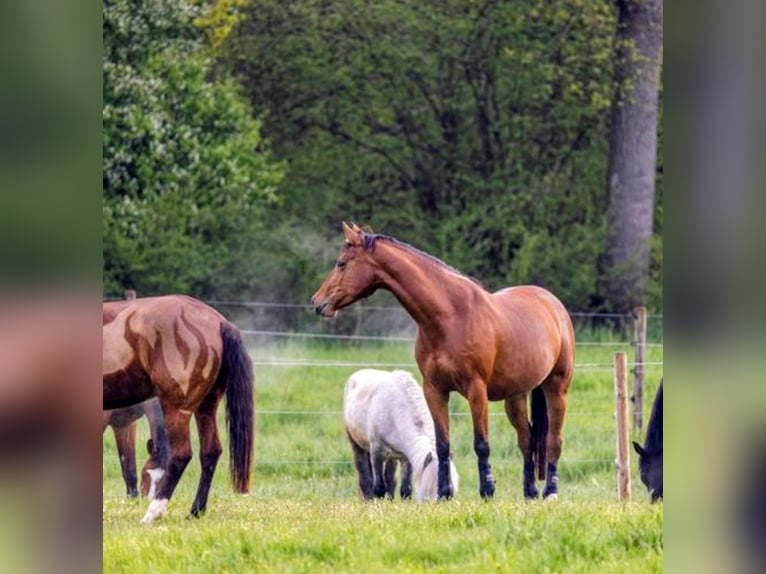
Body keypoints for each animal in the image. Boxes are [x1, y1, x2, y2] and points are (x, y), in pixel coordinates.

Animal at [102, 295, 255, 523]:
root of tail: (220, 322)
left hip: (176, 409)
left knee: (181, 455)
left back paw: (153, 513)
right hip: (206, 407)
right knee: (210, 451)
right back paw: (195, 511)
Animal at [344, 369, 459, 502]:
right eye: (430, 490)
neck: (395, 411)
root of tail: (358, 373)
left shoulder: (406, 457)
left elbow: (405, 489)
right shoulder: (377, 453)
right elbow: (379, 488)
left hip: (392, 457)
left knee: (390, 481)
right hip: (358, 445)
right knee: (365, 478)